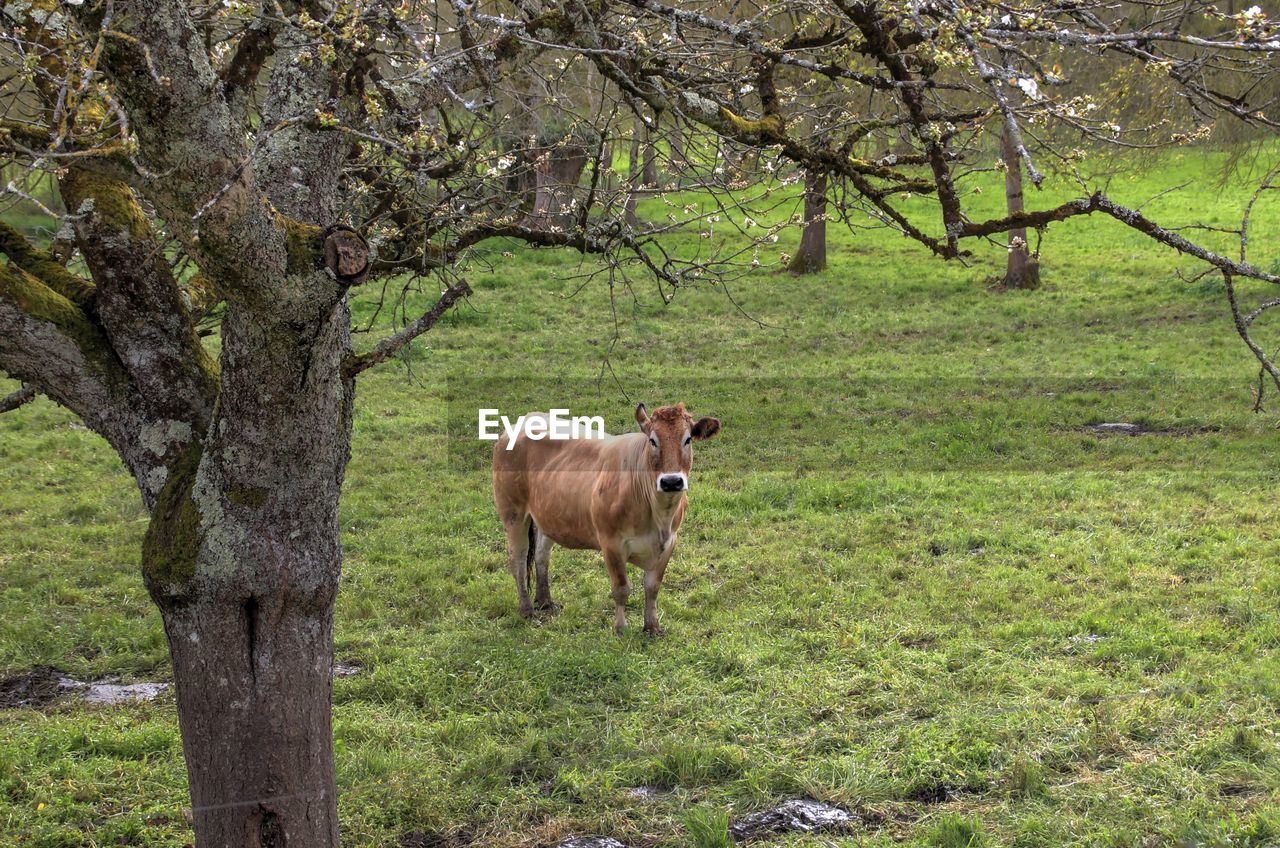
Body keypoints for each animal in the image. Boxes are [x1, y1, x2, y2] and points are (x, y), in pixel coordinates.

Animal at [491, 407, 721, 637]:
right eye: (653, 441)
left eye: (688, 439)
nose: (671, 481)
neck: (659, 516)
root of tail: (527, 419)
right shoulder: (611, 543)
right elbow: (621, 588)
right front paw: (620, 628)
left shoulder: (669, 543)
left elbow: (652, 587)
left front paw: (652, 627)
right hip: (513, 512)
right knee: (518, 559)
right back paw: (527, 609)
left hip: (547, 515)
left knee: (541, 555)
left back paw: (545, 601)